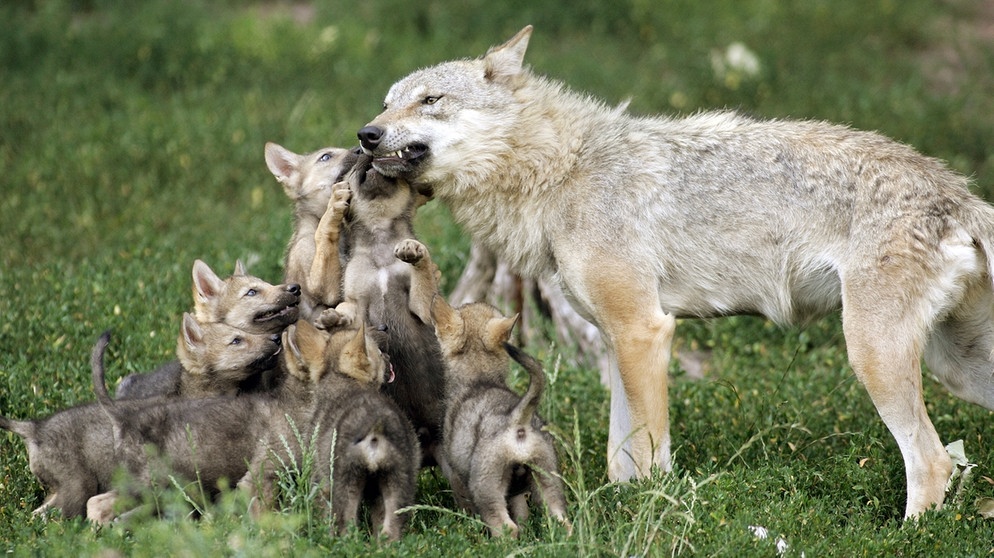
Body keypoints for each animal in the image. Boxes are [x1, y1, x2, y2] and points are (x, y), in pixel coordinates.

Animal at [360, 24, 992, 520]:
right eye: (387, 103)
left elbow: (647, 459)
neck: (563, 171)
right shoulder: (618, 340)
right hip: (956, 371)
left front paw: (647, 512)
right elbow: (621, 460)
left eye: (430, 99)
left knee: (933, 462)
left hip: (874, 357)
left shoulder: (645, 331)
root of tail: (960, 195)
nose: (366, 134)